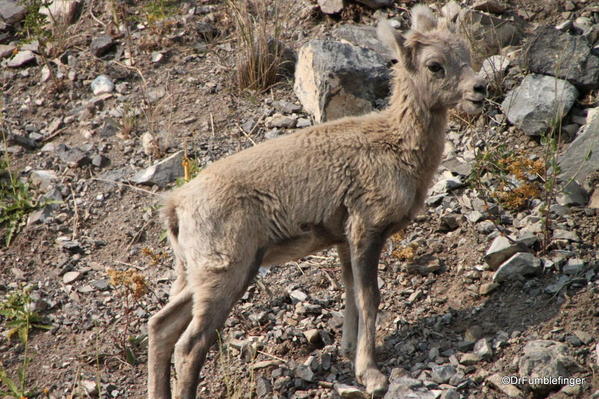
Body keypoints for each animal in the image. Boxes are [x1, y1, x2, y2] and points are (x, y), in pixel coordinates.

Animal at [149, 4, 488, 398]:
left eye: (466, 54)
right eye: (435, 65)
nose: (479, 89)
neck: (397, 147)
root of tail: (177, 206)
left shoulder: (343, 238)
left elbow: (351, 292)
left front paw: (348, 350)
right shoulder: (365, 229)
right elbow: (369, 297)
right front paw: (370, 374)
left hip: (195, 274)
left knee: (160, 327)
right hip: (225, 273)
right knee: (189, 345)